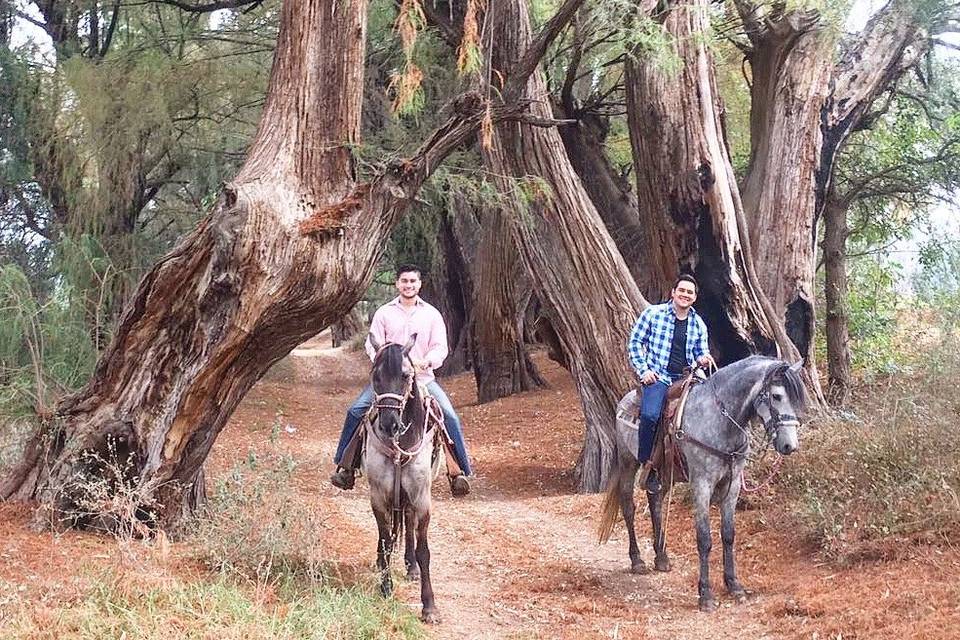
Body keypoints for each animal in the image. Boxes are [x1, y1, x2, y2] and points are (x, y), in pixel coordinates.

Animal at [364, 332, 442, 624]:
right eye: (375, 376)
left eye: (406, 375)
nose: (390, 424)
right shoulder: (378, 496)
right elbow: (386, 541)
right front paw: (386, 588)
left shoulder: (421, 499)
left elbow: (423, 550)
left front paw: (429, 606)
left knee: (408, 526)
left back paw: (411, 568)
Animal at [596, 358, 808, 612]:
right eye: (776, 396)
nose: (790, 446)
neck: (719, 420)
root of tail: (624, 400)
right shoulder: (701, 485)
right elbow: (704, 539)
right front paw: (705, 594)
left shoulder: (732, 486)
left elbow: (728, 534)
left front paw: (734, 585)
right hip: (628, 463)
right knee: (628, 507)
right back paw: (637, 560)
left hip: (664, 474)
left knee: (655, 502)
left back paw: (662, 557)